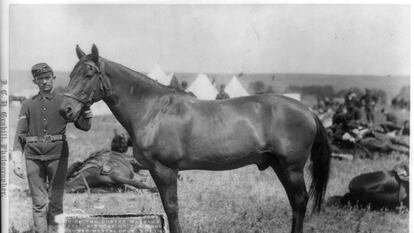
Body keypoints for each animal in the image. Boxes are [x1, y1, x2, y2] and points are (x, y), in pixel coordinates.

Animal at [58, 44, 332, 233]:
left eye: (89, 74)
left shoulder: (165, 170)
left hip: (291, 167)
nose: (65, 110)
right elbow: (168, 206)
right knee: (295, 202)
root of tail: (308, 111)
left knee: (300, 201)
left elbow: (172, 208)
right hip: (279, 166)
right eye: (70, 74)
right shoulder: (157, 171)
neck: (153, 109)